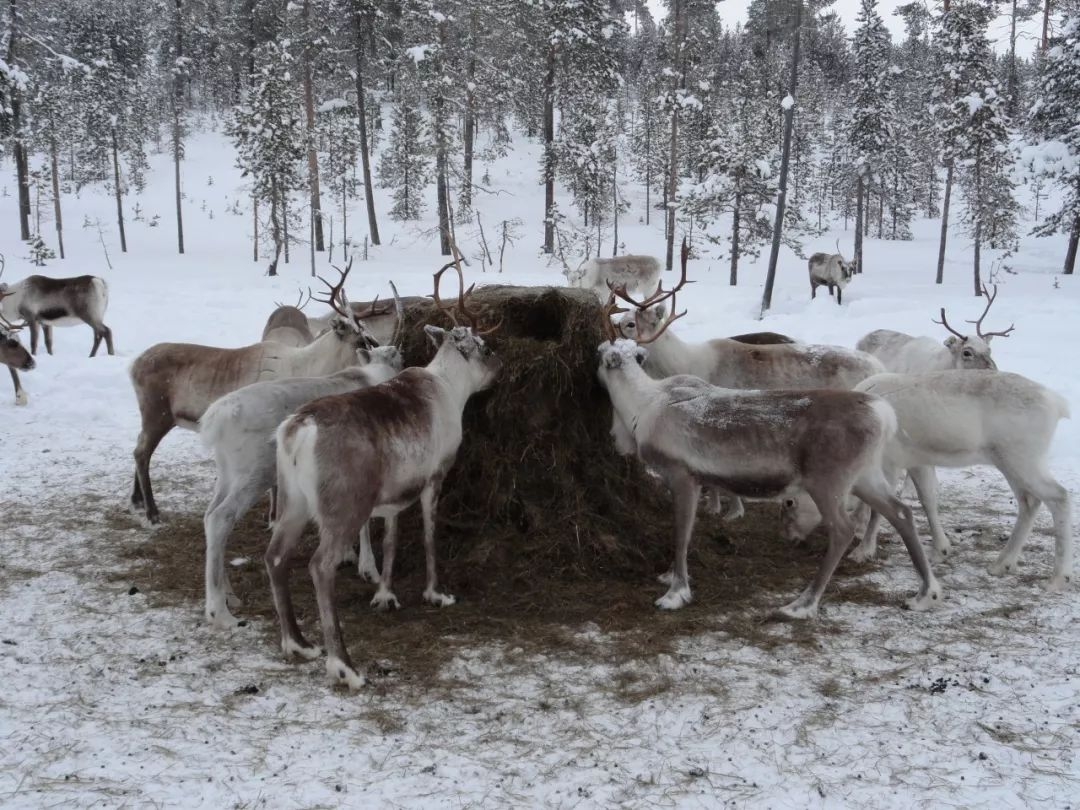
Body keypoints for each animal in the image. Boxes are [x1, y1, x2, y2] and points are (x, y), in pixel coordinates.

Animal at [127, 260, 384, 527]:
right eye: (361, 340)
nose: (382, 347)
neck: (308, 366)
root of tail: (133, 365)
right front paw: (272, 516)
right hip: (157, 411)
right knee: (141, 452)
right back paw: (152, 512)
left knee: (138, 446)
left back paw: (136, 500)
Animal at [265, 261, 501, 691]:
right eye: (485, 347)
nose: (501, 368)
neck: (449, 388)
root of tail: (297, 431)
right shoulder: (434, 476)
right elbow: (428, 536)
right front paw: (436, 593)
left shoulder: (393, 494)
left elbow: (390, 540)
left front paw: (385, 594)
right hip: (344, 505)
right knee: (319, 566)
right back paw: (344, 665)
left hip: (294, 501)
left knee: (275, 557)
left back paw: (297, 643)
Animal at [596, 247, 941, 622]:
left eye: (630, 323)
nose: (609, 329)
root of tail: (882, 409)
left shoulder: (682, 472)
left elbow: (683, 533)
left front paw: (676, 591)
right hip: (864, 473)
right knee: (901, 511)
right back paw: (925, 591)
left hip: (828, 478)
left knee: (845, 527)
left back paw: (806, 600)